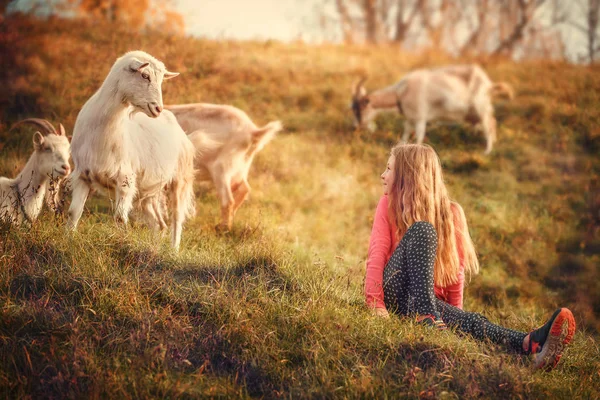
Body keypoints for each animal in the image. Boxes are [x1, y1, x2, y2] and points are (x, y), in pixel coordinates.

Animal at [68, 50, 196, 250]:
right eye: (144, 75)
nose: (157, 108)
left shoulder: (125, 179)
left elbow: (120, 219)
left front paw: (120, 244)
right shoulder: (82, 174)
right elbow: (74, 211)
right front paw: (69, 239)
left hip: (180, 180)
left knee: (176, 220)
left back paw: (173, 250)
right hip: (147, 191)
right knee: (158, 224)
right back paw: (155, 248)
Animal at [165, 103, 282, 233]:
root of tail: (252, 132)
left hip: (221, 168)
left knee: (228, 200)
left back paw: (222, 228)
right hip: (241, 168)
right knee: (244, 188)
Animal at [352, 65, 516, 154]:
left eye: (360, 109)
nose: (357, 128)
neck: (401, 92)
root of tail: (489, 84)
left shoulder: (420, 117)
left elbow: (419, 135)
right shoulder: (410, 117)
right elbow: (405, 132)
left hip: (481, 107)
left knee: (489, 125)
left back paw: (487, 151)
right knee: (492, 122)